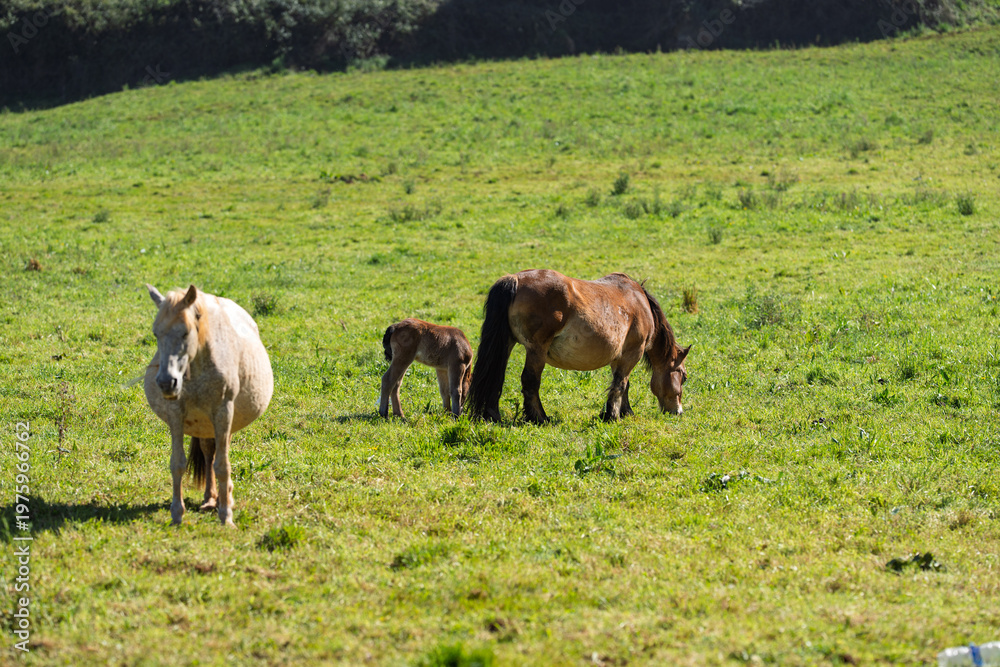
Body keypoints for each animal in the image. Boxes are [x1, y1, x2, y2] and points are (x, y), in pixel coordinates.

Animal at [144, 284, 273, 527]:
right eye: (156, 333)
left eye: (186, 332)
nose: (166, 382)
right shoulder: (176, 413)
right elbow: (178, 463)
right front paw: (177, 515)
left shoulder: (223, 412)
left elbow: (223, 466)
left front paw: (226, 516)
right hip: (204, 424)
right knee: (207, 452)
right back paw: (209, 498)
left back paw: (224, 499)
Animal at [466, 269, 690, 424]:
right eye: (683, 376)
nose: (678, 411)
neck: (641, 303)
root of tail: (515, 279)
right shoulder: (632, 353)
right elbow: (620, 384)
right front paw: (613, 416)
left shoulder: (618, 357)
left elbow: (622, 384)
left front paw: (625, 412)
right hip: (536, 350)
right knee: (530, 381)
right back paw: (541, 418)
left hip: (506, 344)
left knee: (496, 377)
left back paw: (493, 416)